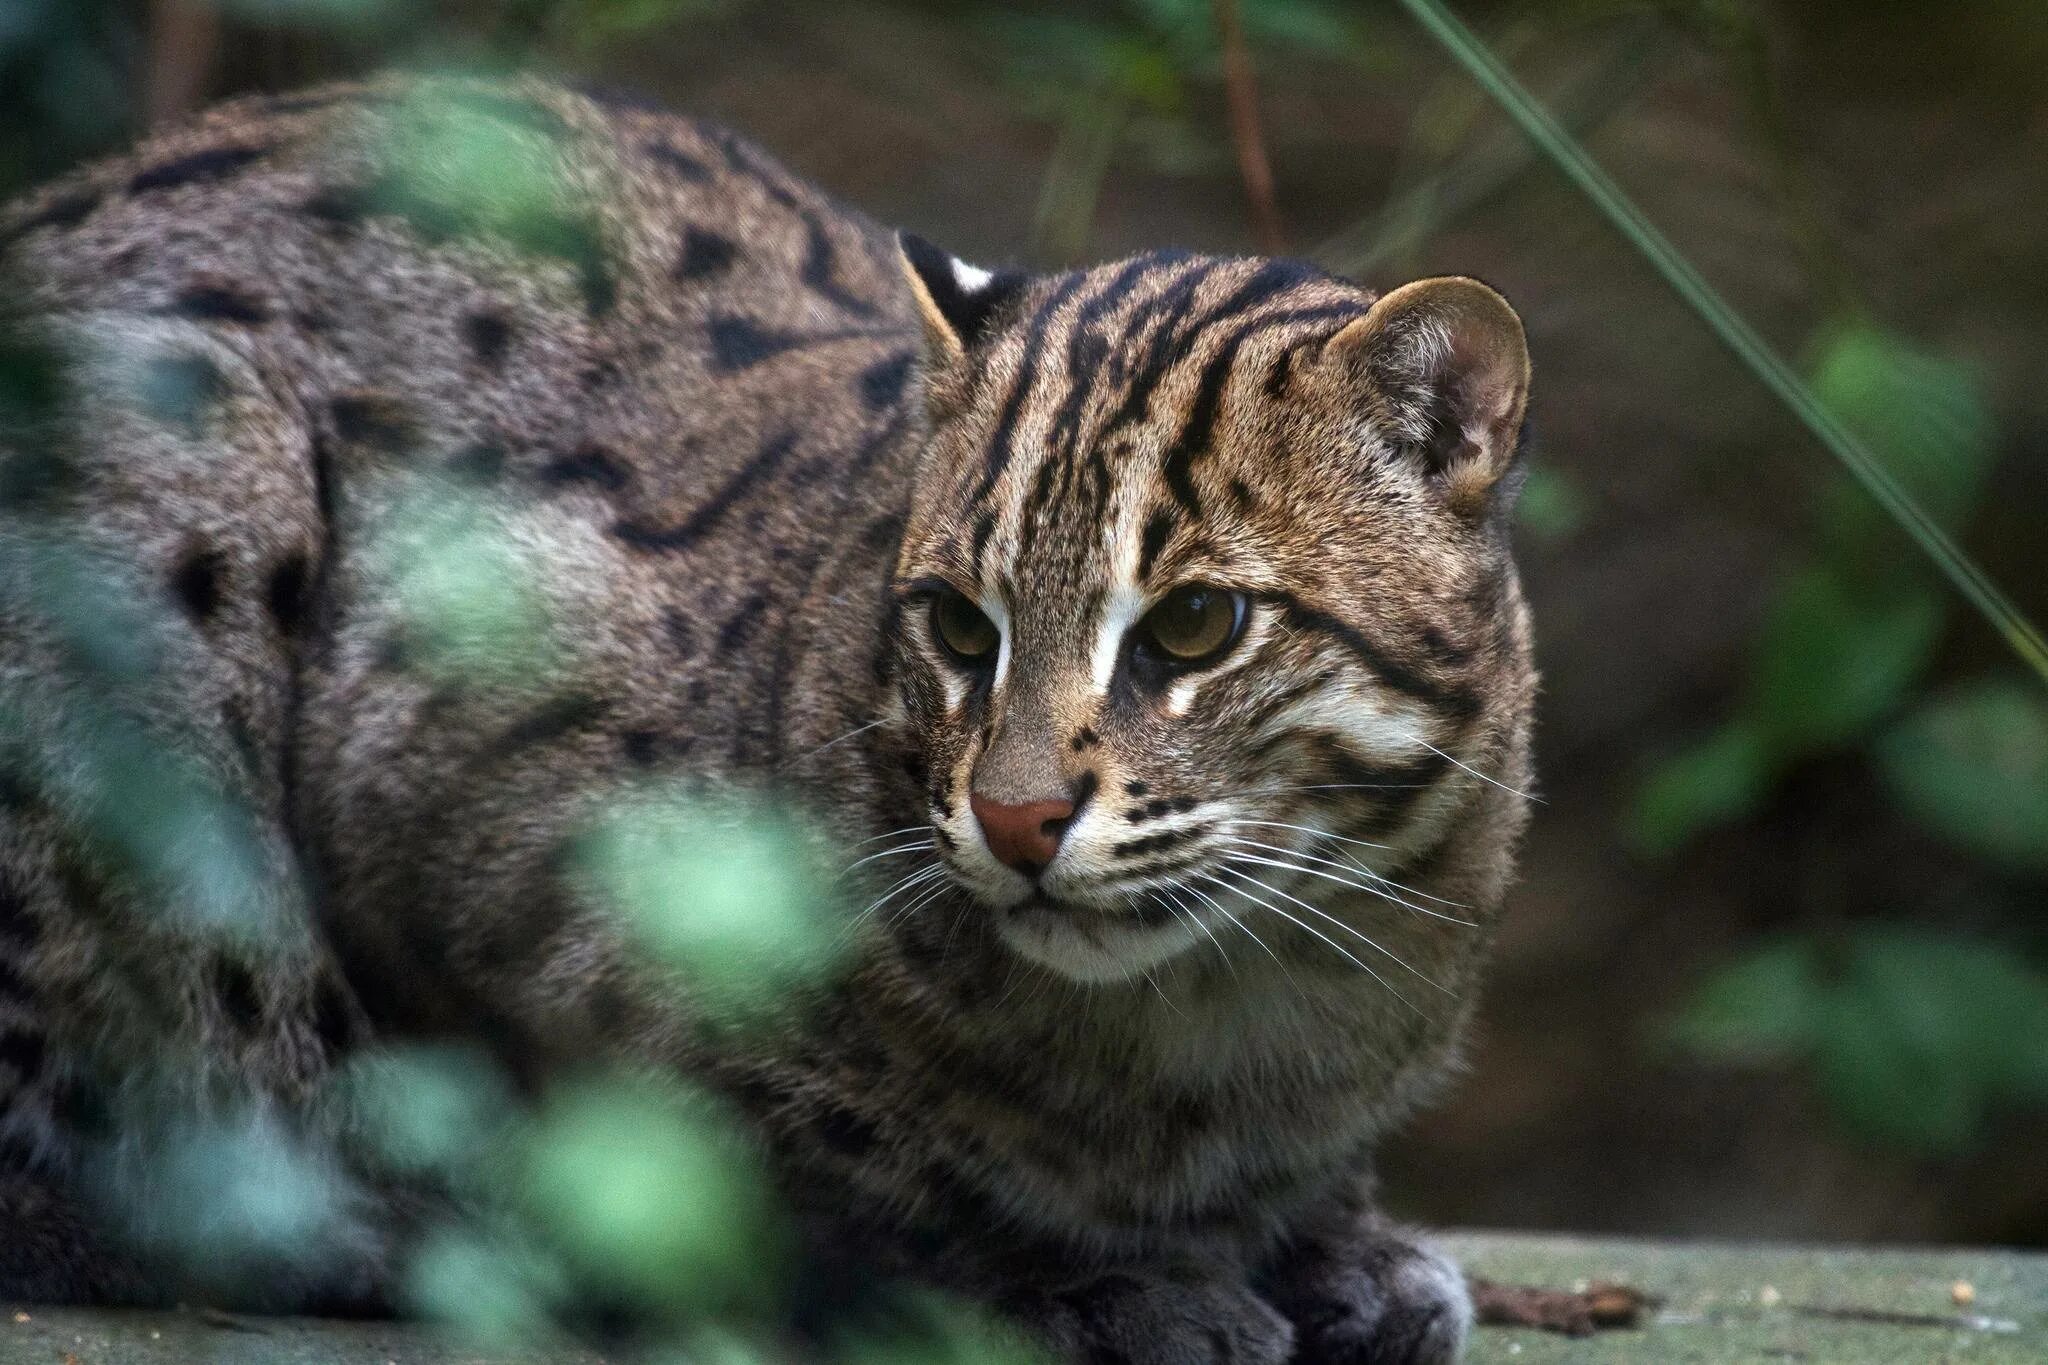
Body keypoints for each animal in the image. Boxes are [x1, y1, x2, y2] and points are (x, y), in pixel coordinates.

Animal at [0, 77, 1531, 1365]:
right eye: (958, 627)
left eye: (1198, 625)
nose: (1015, 819)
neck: (1243, 1003)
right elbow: (786, 1173)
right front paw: (1086, 1278)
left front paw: (1338, 1237)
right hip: (184, 447)